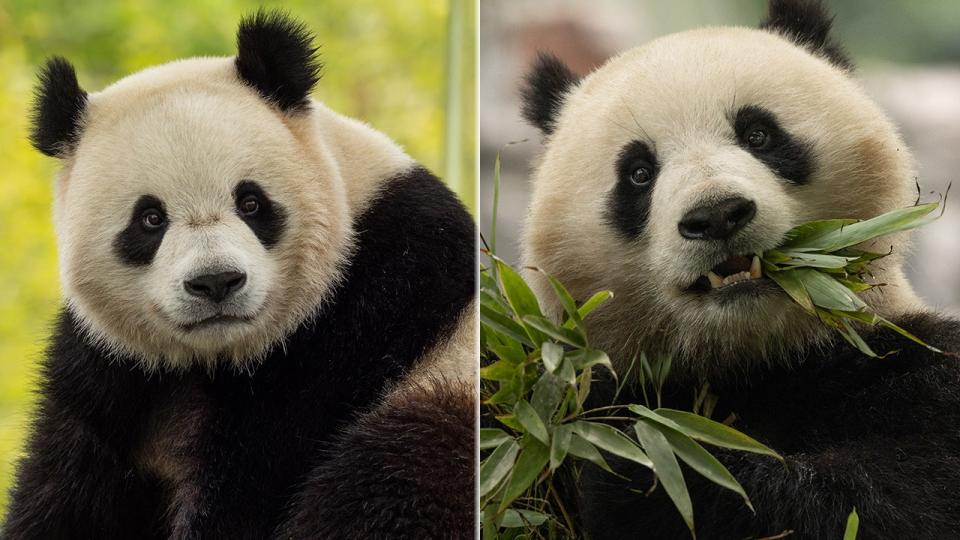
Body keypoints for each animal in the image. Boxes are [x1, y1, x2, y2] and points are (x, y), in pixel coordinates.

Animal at [2, 9, 476, 540]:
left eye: (250, 203)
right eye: (150, 218)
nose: (215, 282)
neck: (215, 358)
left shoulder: (363, 317)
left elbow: (252, 480)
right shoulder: (111, 366)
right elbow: (63, 487)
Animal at [520, 1, 960, 540]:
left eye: (758, 134)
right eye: (638, 173)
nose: (716, 215)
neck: (751, 357)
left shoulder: (912, 375)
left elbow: (883, 505)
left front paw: (646, 468)